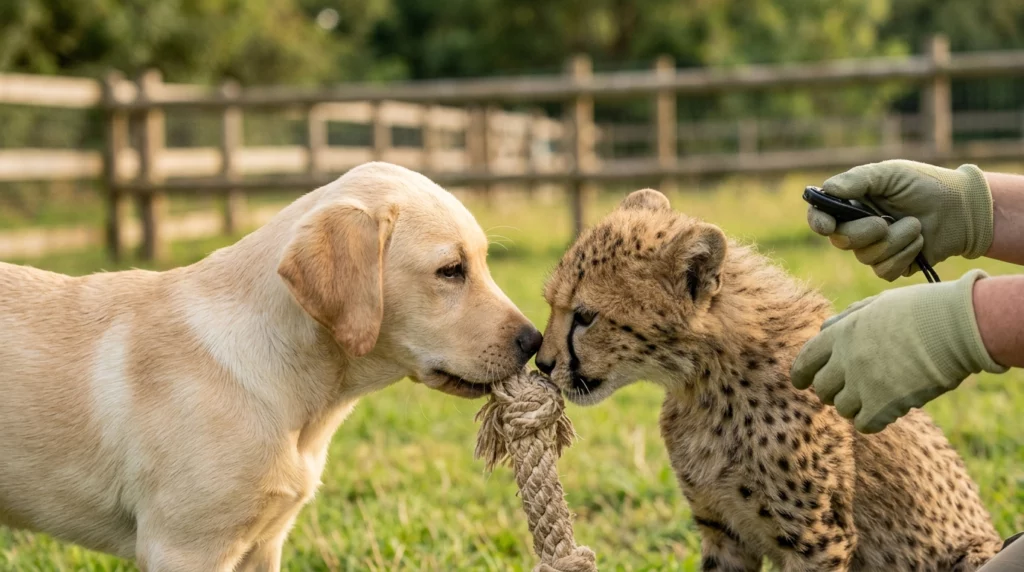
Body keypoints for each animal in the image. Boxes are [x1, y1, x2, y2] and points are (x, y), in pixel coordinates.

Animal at [535, 188, 1003, 571]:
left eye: (586, 316)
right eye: (552, 304)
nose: (542, 362)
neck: (705, 384)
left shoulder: (817, 541)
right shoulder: (722, 531)